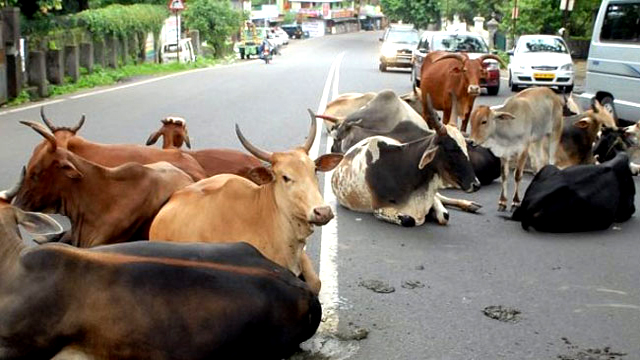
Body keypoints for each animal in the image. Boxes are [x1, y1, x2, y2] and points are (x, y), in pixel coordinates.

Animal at [330, 94, 480, 226]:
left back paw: (470, 204)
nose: (476, 184)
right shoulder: (380, 209)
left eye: (465, 147)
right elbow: (409, 220)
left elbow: (444, 215)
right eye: (451, 149)